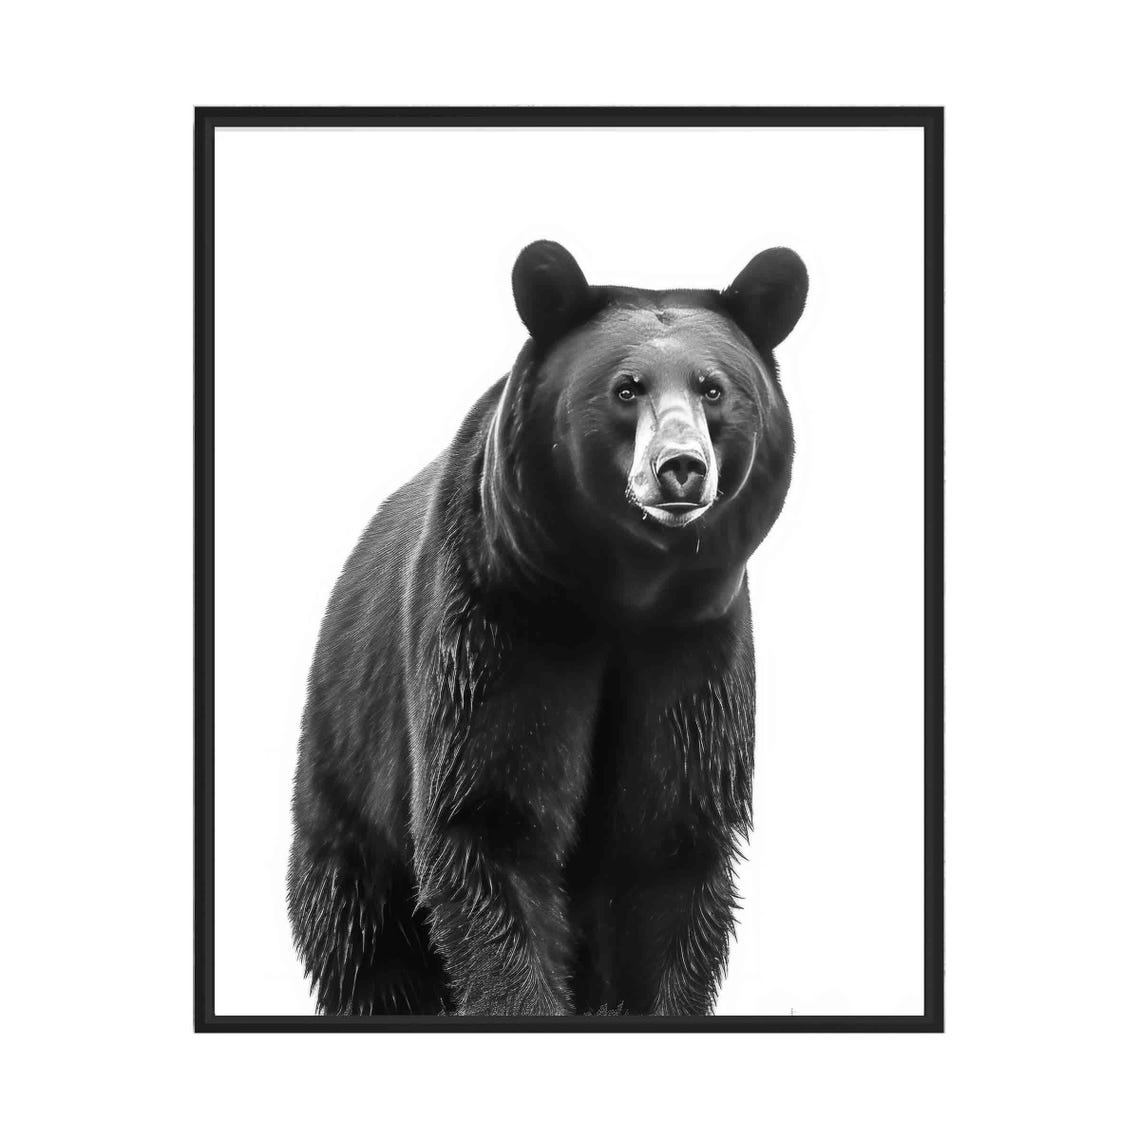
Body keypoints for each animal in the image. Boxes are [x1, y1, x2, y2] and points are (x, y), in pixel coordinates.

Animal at [287, 240, 807, 1016]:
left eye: (714, 389)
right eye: (626, 388)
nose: (681, 468)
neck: (622, 595)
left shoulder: (694, 649)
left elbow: (669, 842)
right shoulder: (501, 624)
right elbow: (491, 818)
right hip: (348, 775)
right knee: (364, 939)